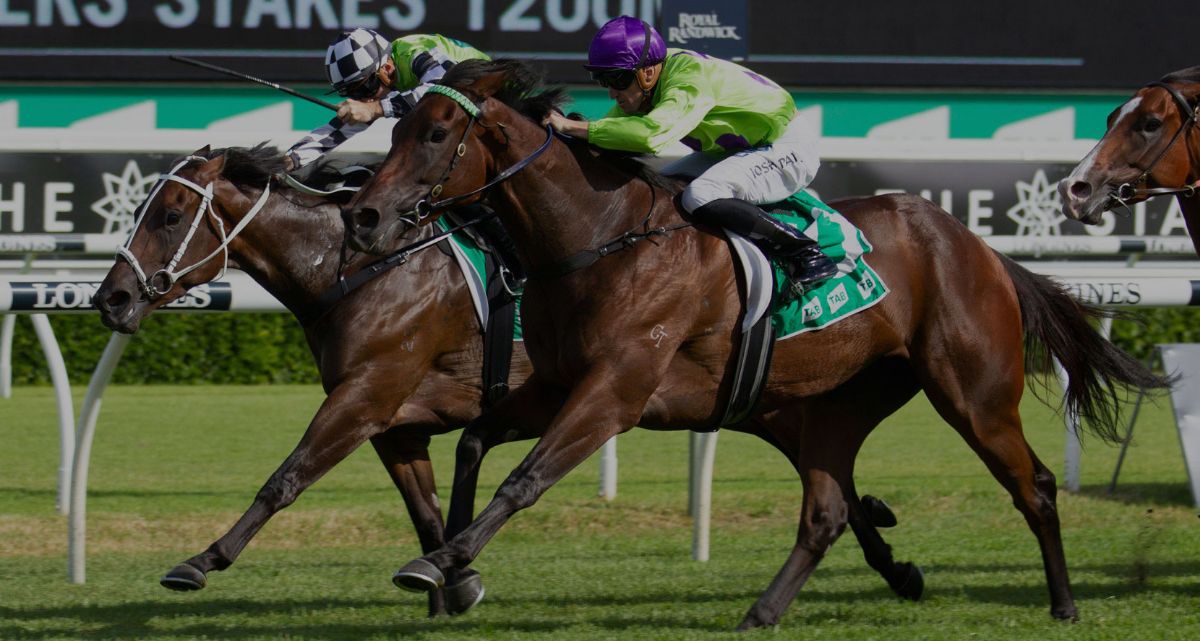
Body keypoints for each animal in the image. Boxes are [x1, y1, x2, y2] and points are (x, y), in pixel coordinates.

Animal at [91, 144, 904, 618]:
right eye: (141, 207)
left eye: (169, 213)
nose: (112, 299)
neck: (356, 267)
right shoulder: (397, 421)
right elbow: (423, 510)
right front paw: (453, 581)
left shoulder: (367, 393)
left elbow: (284, 478)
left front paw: (199, 562)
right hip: (751, 399)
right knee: (824, 466)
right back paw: (895, 565)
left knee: (821, 466)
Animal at [341, 59, 1168, 630]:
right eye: (395, 132)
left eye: (436, 135)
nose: (367, 217)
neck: (600, 238)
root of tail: (979, 248)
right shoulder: (556, 384)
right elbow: (474, 442)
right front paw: (448, 569)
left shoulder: (616, 391)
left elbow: (525, 478)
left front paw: (442, 561)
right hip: (843, 400)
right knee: (826, 509)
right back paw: (766, 609)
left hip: (974, 391)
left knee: (1034, 484)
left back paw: (1063, 603)